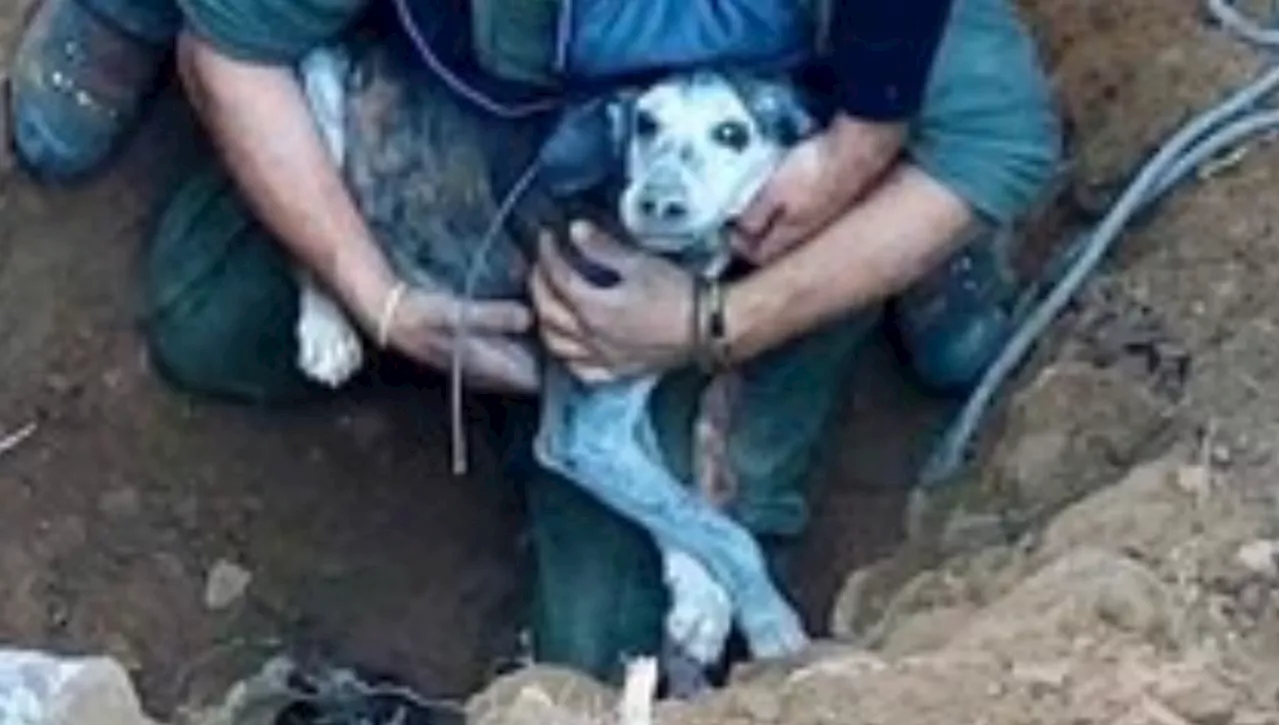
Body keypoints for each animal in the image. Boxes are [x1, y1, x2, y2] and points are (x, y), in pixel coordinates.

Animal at [294, 46, 814, 676]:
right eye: (645, 122)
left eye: (732, 133)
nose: (657, 202)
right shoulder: (579, 434)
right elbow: (725, 530)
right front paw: (770, 621)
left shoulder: (610, 403)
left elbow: (678, 501)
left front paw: (700, 604)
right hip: (320, 83)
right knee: (310, 225)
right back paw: (325, 330)